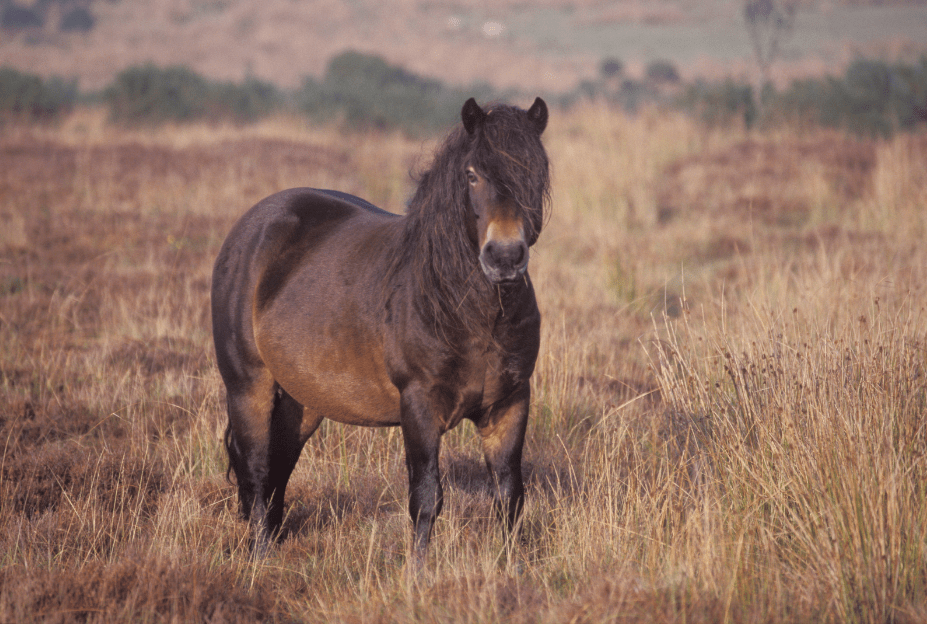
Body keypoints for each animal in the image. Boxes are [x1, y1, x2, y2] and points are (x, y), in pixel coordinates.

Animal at [210, 97, 552, 556]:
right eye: (472, 174)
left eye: (536, 169)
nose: (504, 256)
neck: (468, 313)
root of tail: (251, 228)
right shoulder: (419, 407)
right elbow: (426, 498)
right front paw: (418, 570)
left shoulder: (510, 405)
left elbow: (509, 496)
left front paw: (512, 566)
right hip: (249, 388)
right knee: (257, 468)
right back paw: (261, 555)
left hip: (303, 402)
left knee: (279, 466)